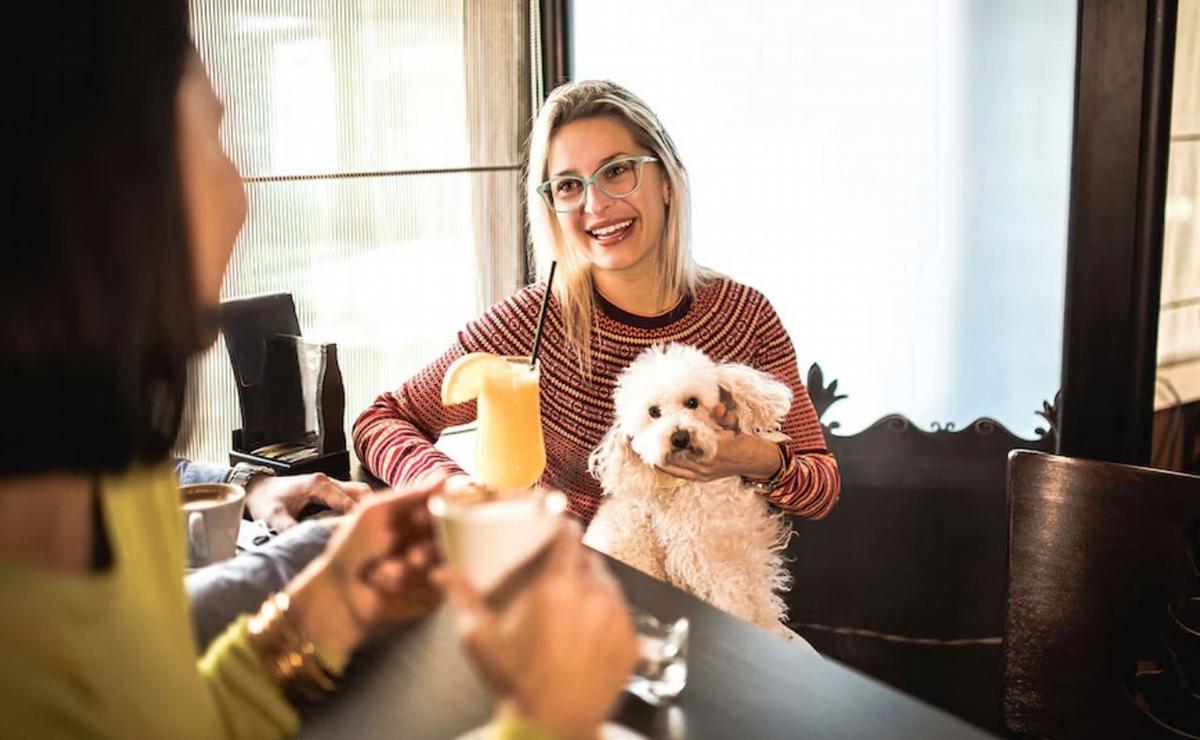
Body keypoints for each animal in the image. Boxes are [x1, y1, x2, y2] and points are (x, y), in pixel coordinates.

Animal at [583, 343, 811, 642]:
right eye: (654, 412)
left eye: (692, 402)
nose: (679, 437)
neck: (705, 493)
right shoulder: (710, 566)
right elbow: (736, 604)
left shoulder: (751, 552)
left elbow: (762, 601)